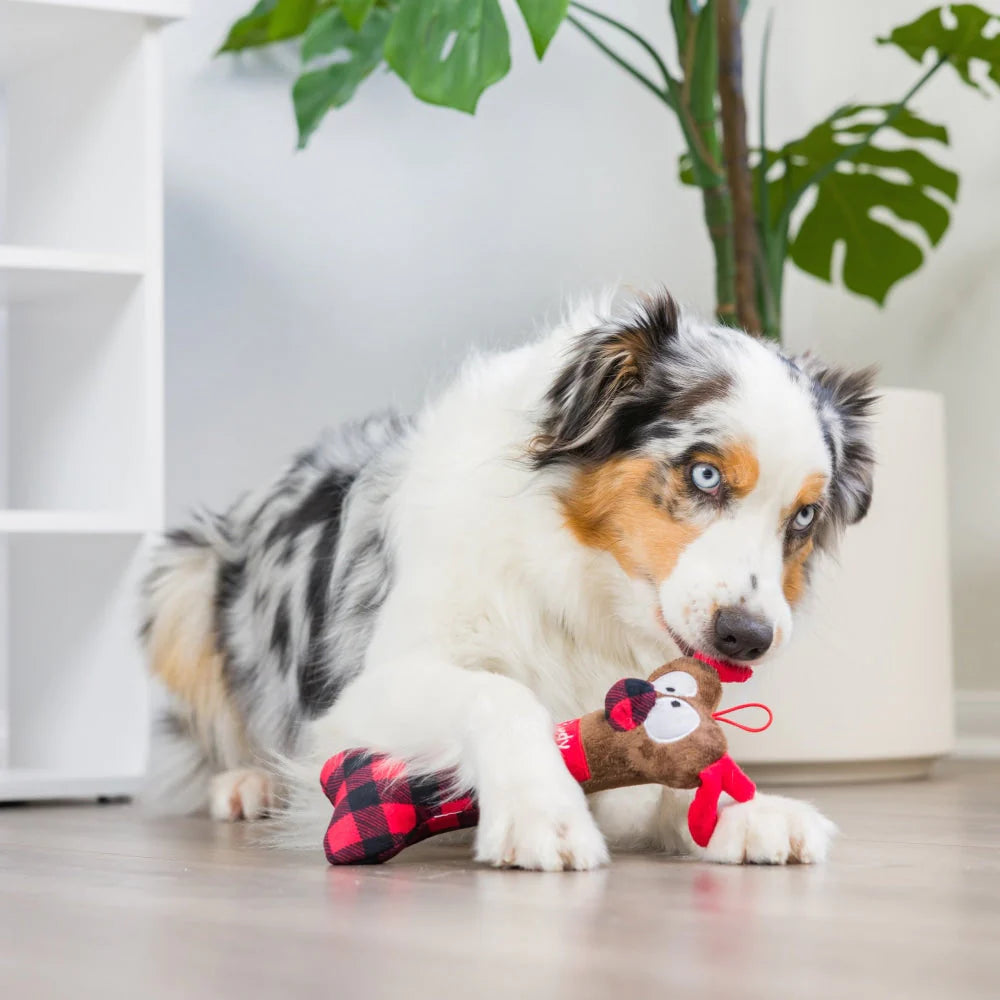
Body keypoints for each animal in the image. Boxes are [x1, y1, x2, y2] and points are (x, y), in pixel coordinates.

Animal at [141, 290, 876, 868]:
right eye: (704, 473)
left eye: (804, 516)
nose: (748, 637)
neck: (583, 590)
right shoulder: (359, 697)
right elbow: (499, 694)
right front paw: (542, 814)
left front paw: (743, 810)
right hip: (183, 579)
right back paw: (245, 785)